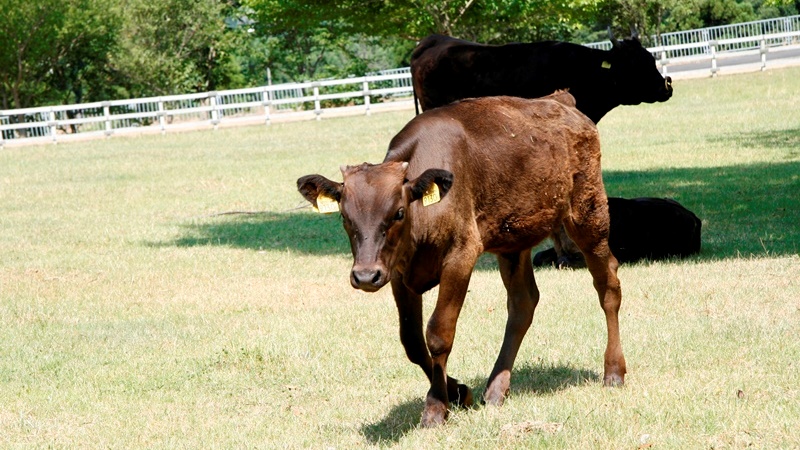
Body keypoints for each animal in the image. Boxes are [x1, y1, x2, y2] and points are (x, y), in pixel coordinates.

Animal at [298, 91, 624, 426]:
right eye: (344, 217)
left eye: (398, 212)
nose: (365, 276)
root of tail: (561, 100)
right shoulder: (397, 272)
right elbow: (412, 341)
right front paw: (458, 392)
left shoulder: (460, 258)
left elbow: (438, 333)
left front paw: (435, 407)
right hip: (513, 242)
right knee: (523, 303)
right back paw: (496, 389)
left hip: (588, 216)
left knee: (608, 286)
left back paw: (613, 372)